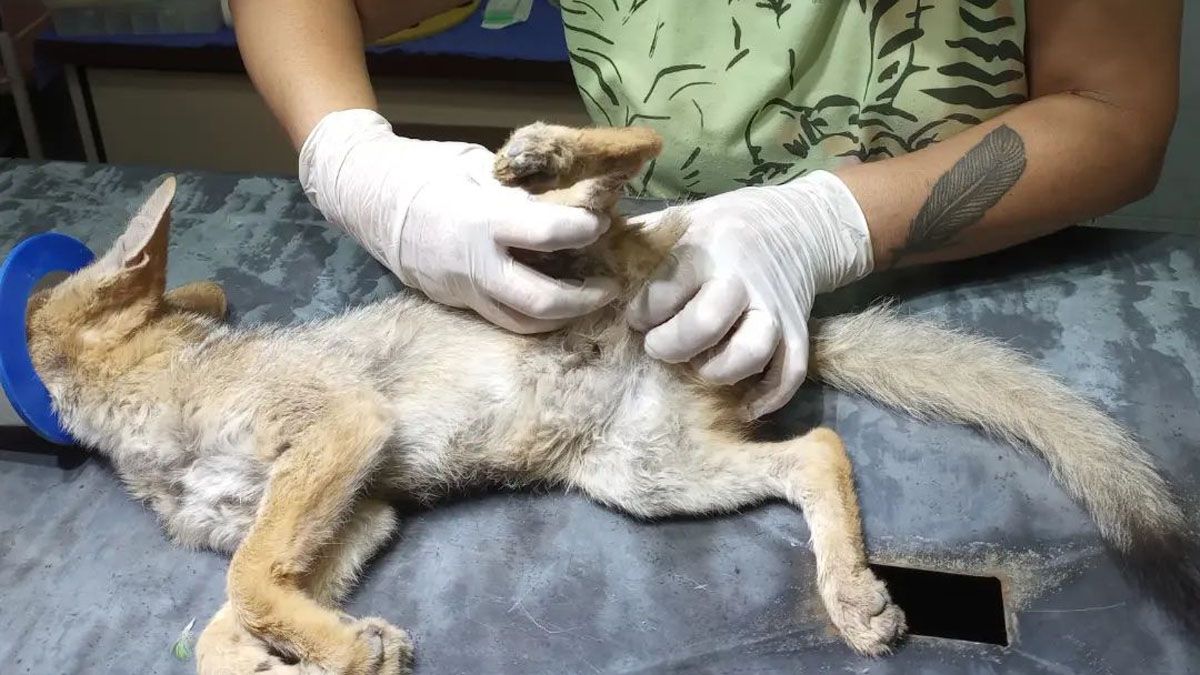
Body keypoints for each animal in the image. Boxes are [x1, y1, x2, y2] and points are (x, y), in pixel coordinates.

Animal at [22, 123, 1197, 674]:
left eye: (32, 303)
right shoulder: (362, 510)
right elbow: (231, 625)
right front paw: (333, 651)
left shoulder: (339, 436)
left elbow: (248, 588)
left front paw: (338, 648)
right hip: (653, 481)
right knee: (817, 452)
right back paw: (851, 593)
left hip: (586, 247)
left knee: (636, 155)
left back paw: (546, 151)